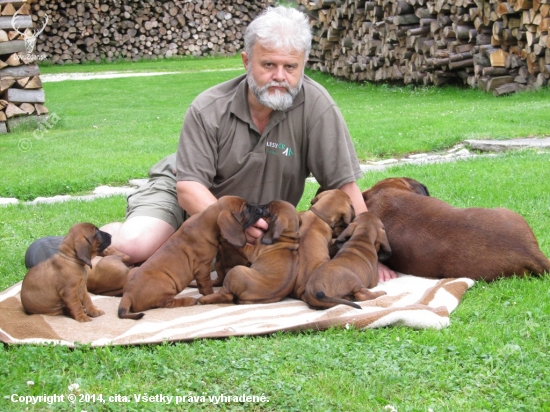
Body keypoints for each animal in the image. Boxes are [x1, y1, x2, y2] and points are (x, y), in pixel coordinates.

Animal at [118, 196, 266, 318]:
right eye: (245, 208)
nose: (260, 208)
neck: (205, 222)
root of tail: (127, 295)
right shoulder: (203, 267)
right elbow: (206, 285)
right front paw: (210, 295)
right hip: (167, 286)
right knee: (167, 303)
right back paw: (188, 300)